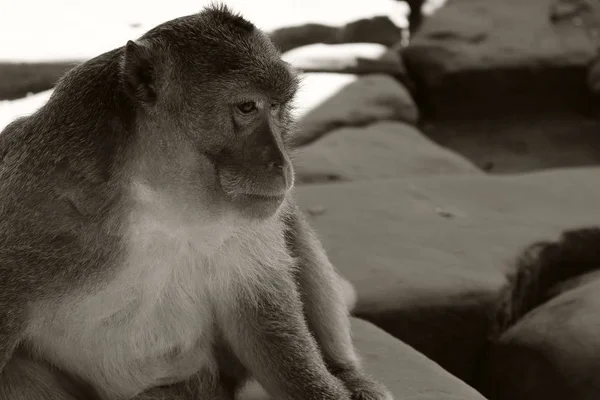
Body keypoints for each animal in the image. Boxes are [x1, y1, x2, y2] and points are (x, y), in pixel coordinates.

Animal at [0, 3, 394, 400]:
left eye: (278, 107)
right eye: (247, 107)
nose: (282, 163)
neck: (161, 201)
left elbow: (262, 312)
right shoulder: (40, 202)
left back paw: (346, 371)